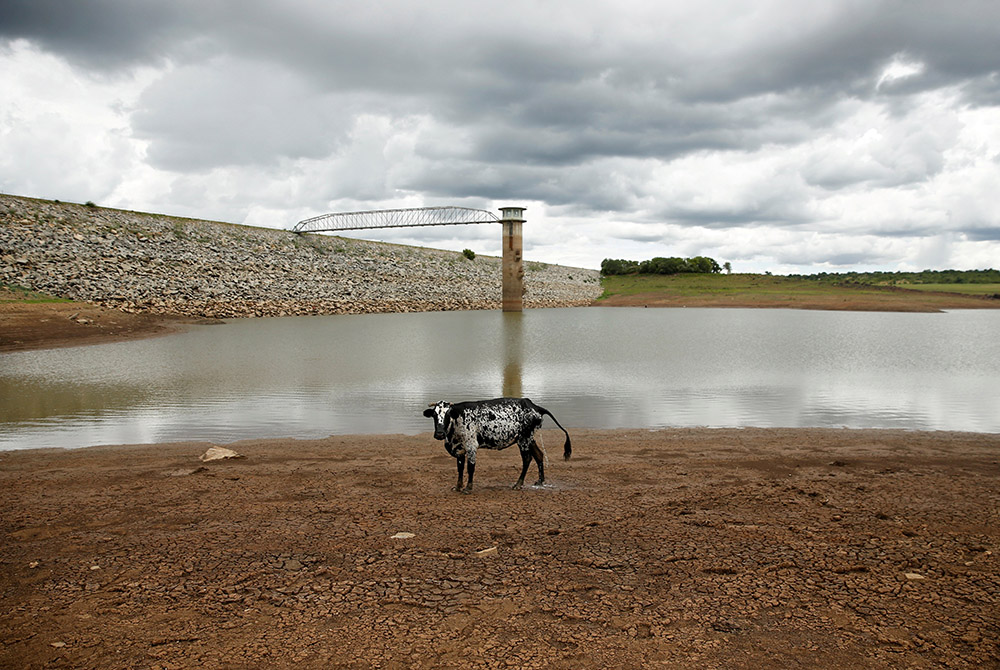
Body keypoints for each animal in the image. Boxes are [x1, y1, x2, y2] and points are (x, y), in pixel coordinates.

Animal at [422, 400, 572, 494]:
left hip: (523, 440)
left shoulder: (471, 446)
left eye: (447, 414)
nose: (439, 433)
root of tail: (533, 405)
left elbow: (470, 468)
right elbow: (460, 469)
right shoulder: (460, 450)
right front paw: (458, 487)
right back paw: (540, 481)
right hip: (529, 439)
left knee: (527, 459)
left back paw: (518, 484)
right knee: (539, 455)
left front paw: (468, 488)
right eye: (434, 415)